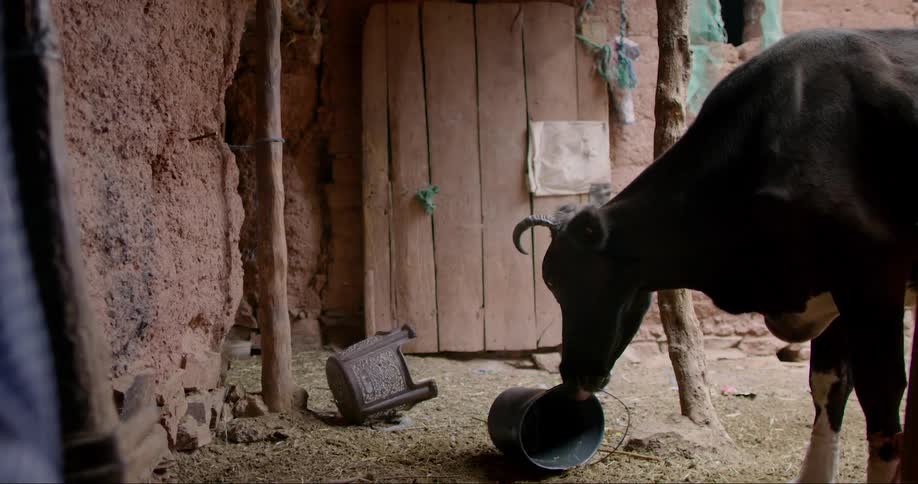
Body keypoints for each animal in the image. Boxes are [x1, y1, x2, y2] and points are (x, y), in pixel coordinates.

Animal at [513, 28, 918, 483]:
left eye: (576, 280)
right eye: (552, 283)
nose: (573, 375)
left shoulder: (871, 280)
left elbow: (882, 399)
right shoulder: (829, 292)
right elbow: (828, 384)